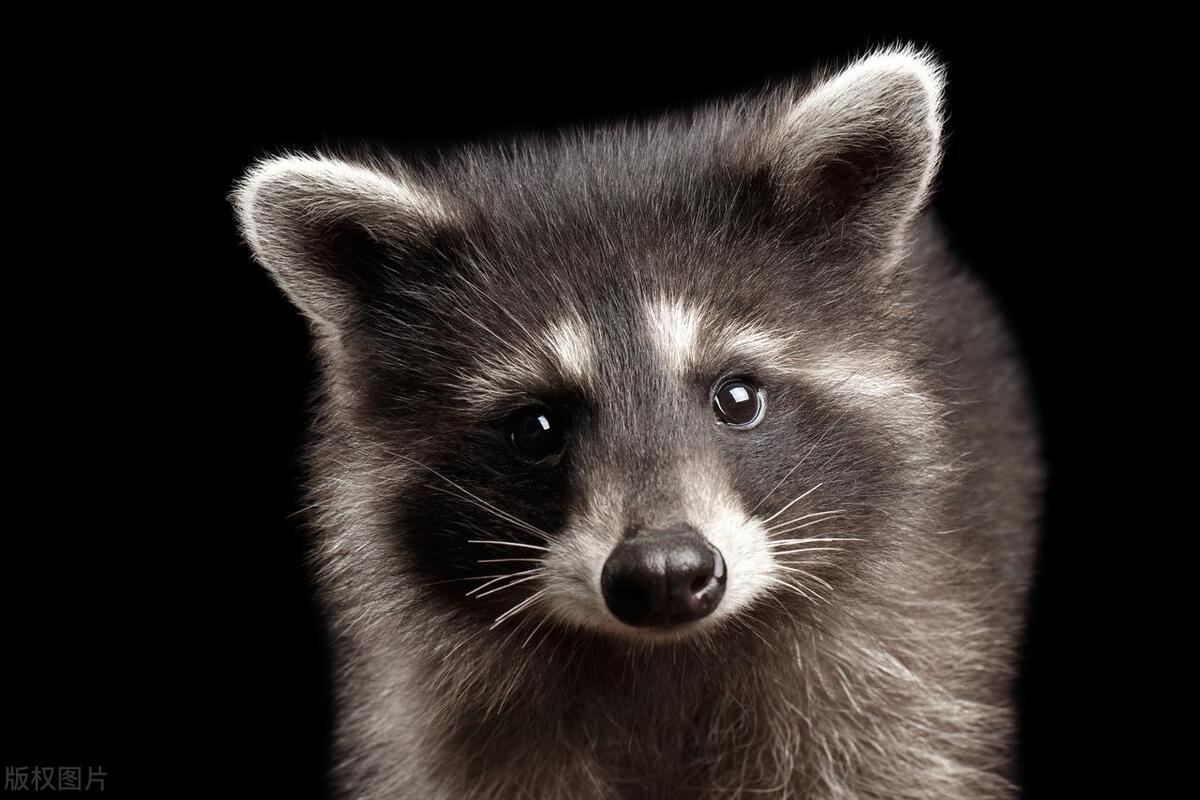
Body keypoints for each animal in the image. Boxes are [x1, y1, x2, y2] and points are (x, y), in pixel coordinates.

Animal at [233, 46, 1041, 799]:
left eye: (737, 398)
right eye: (535, 429)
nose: (664, 572)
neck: (665, 655)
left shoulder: (894, 682)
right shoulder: (449, 729)